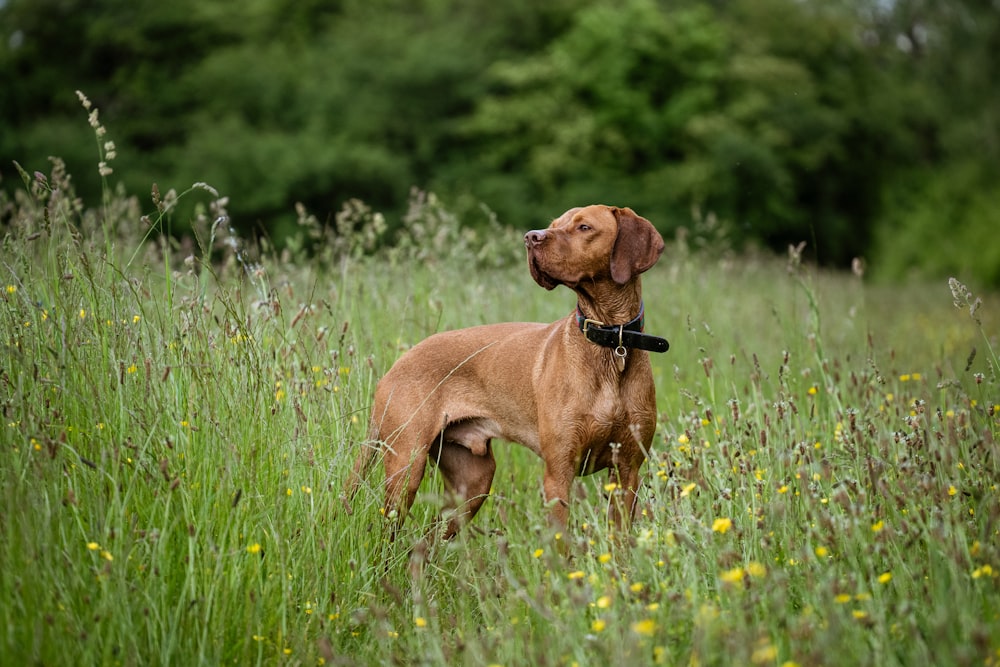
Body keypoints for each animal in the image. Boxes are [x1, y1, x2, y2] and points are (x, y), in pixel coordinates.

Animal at [348, 206, 668, 540]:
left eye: (584, 227)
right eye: (554, 224)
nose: (531, 237)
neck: (611, 341)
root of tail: (395, 366)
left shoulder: (627, 472)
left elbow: (619, 542)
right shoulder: (558, 472)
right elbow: (562, 543)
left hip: (472, 482)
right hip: (406, 467)